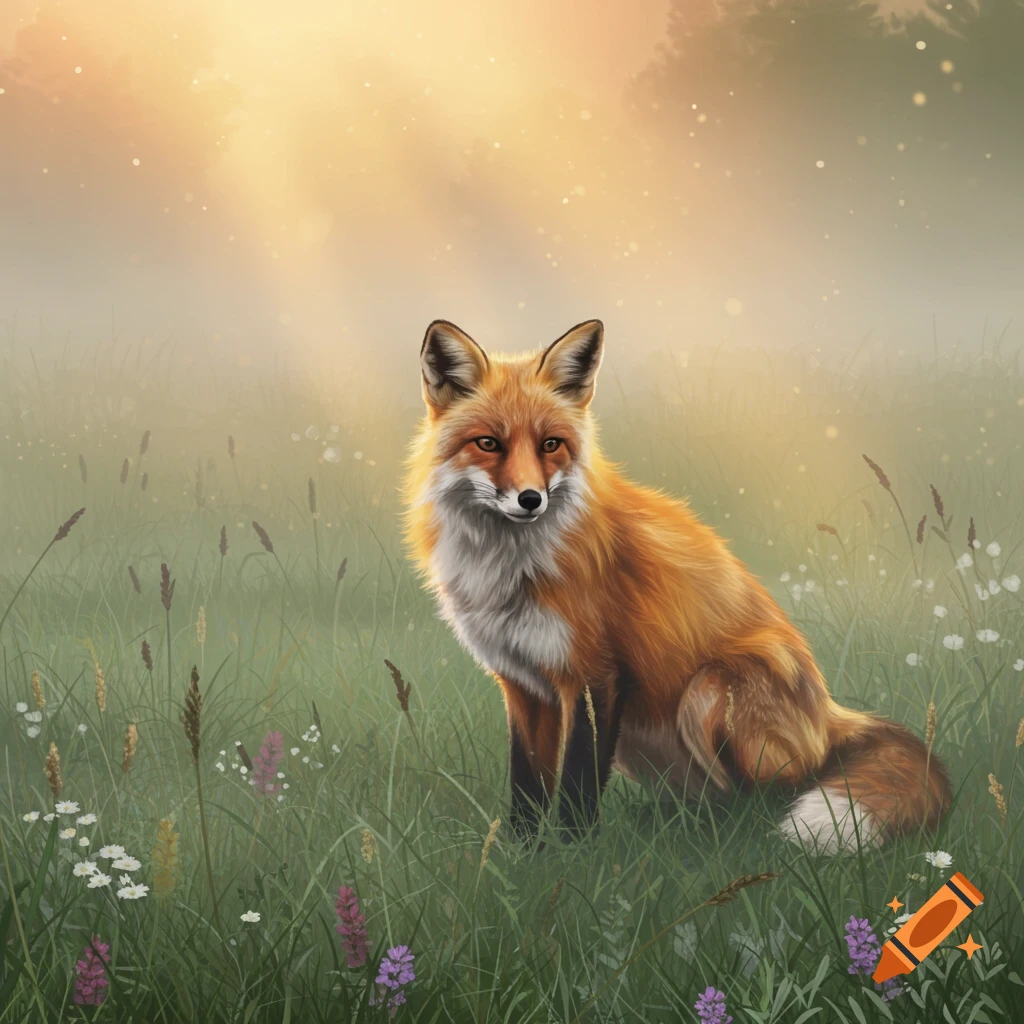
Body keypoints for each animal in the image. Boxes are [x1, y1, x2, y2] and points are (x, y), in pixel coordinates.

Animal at [401, 318, 952, 852]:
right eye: (488, 443)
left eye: (550, 444)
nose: (531, 499)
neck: (512, 568)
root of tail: (831, 715)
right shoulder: (523, 683)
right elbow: (527, 783)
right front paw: (522, 851)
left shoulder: (596, 675)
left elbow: (578, 781)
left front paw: (575, 852)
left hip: (705, 692)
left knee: (772, 794)